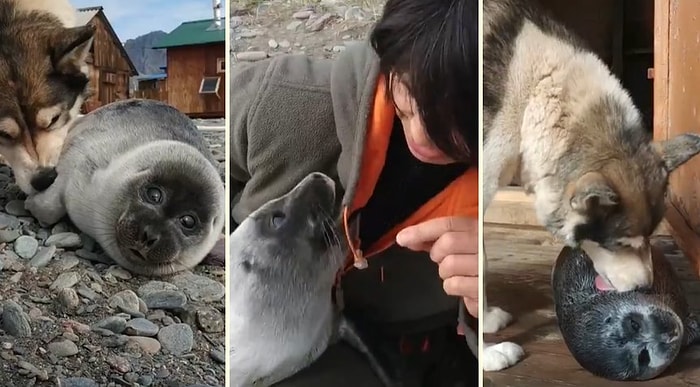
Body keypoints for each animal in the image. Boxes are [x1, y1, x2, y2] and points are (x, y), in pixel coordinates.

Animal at [23, 99, 224, 276]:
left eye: (188, 221)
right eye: (154, 194)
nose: (150, 235)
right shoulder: (76, 159)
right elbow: (49, 208)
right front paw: (30, 203)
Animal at [484, 0, 700, 372]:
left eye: (649, 237)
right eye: (620, 243)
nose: (646, 286)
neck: (537, 94)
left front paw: (483, 319)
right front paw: (485, 352)